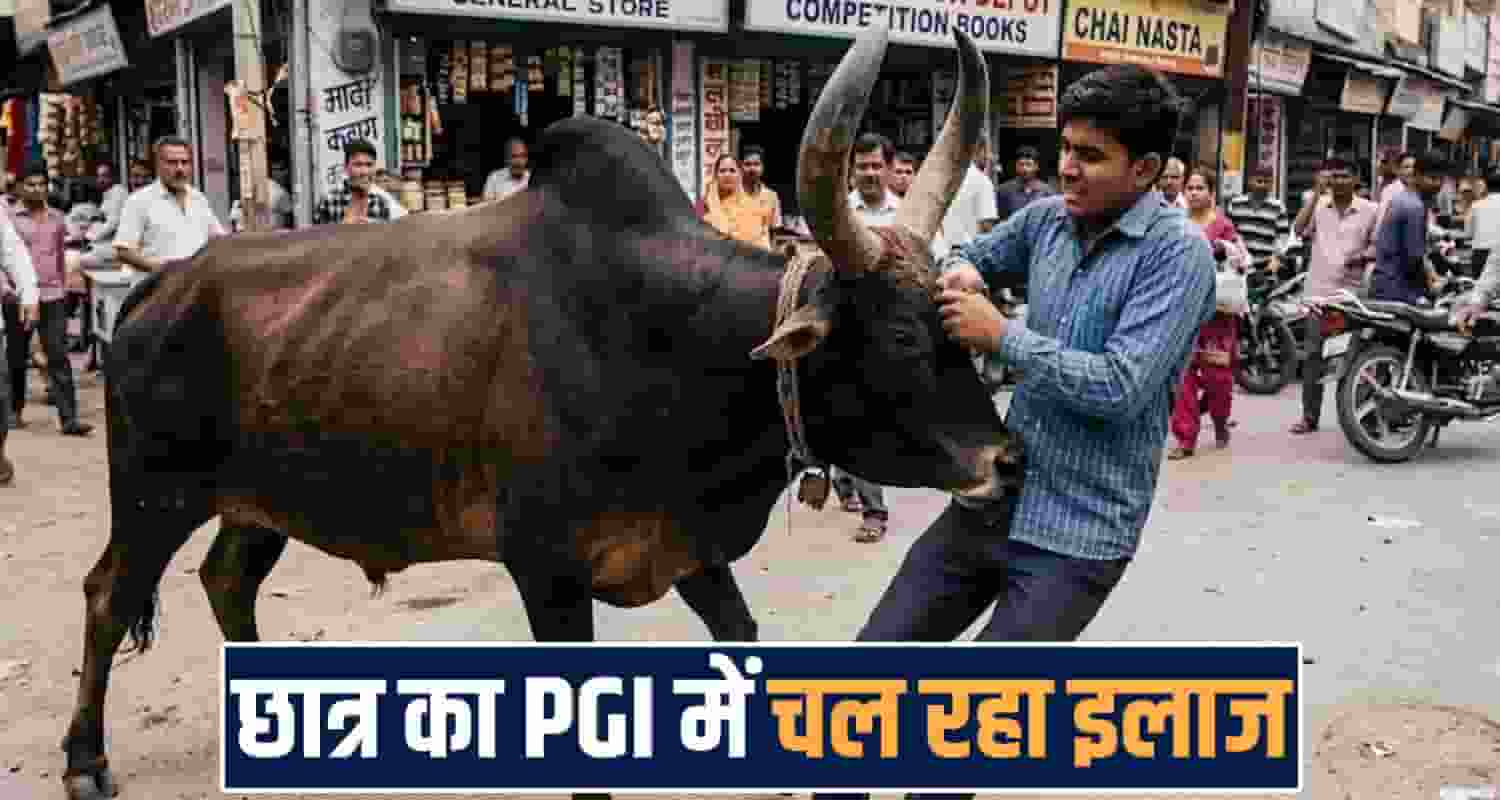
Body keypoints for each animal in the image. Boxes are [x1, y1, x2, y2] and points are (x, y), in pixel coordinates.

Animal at [60, 25, 1015, 800]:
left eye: (953, 324)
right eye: (899, 337)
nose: (1007, 462)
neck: (669, 344)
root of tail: (161, 283)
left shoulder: (687, 545)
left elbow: (742, 638)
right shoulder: (547, 568)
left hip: (261, 501)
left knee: (228, 581)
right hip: (154, 491)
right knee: (109, 592)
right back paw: (84, 759)